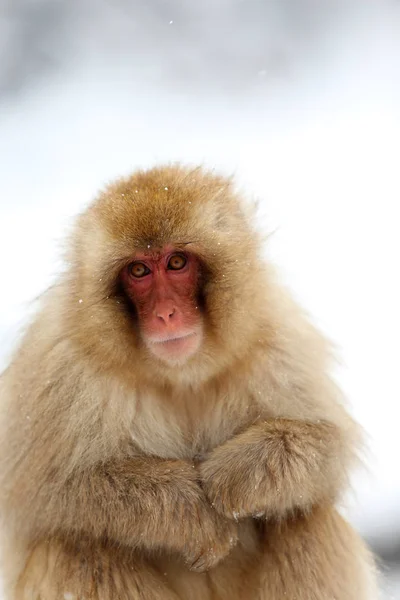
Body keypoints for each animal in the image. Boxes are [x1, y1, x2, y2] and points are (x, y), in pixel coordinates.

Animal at [0, 164, 378, 600]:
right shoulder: (61, 366)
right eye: (139, 271)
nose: (166, 314)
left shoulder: (276, 338)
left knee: (306, 517)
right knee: (75, 546)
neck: (181, 376)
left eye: (177, 261)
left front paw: (234, 477)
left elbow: (330, 444)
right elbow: (43, 496)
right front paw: (195, 512)